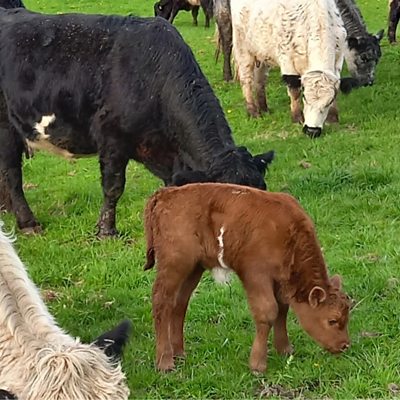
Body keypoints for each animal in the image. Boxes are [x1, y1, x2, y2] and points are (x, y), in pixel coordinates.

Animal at [0, 8, 274, 237]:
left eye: (262, 190)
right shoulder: (113, 139)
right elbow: (113, 187)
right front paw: (106, 231)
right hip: (7, 128)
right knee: (12, 173)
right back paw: (27, 222)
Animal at [144, 183, 351, 373]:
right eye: (332, 320)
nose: (344, 345)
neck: (289, 234)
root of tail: (165, 194)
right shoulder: (256, 274)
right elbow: (268, 311)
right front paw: (258, 364)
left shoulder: (279, 280)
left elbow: (282, 308)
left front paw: (284, 349)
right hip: (175, 264)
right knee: (162, 302)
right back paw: (165, 362)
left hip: (194, 268)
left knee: (179, 303)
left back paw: (179, 352)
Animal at [231, 0, 356, 138]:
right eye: (305, 97)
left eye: (329, 101)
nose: (312, 131)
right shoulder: (286, 60)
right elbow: (294, 91)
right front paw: (297, 118)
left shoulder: (338, 59)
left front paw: (333, 118)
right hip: (242, 48)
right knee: (246, 80)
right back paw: (253, 112)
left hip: (262, 53)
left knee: (260, 81)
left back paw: (264, 109)